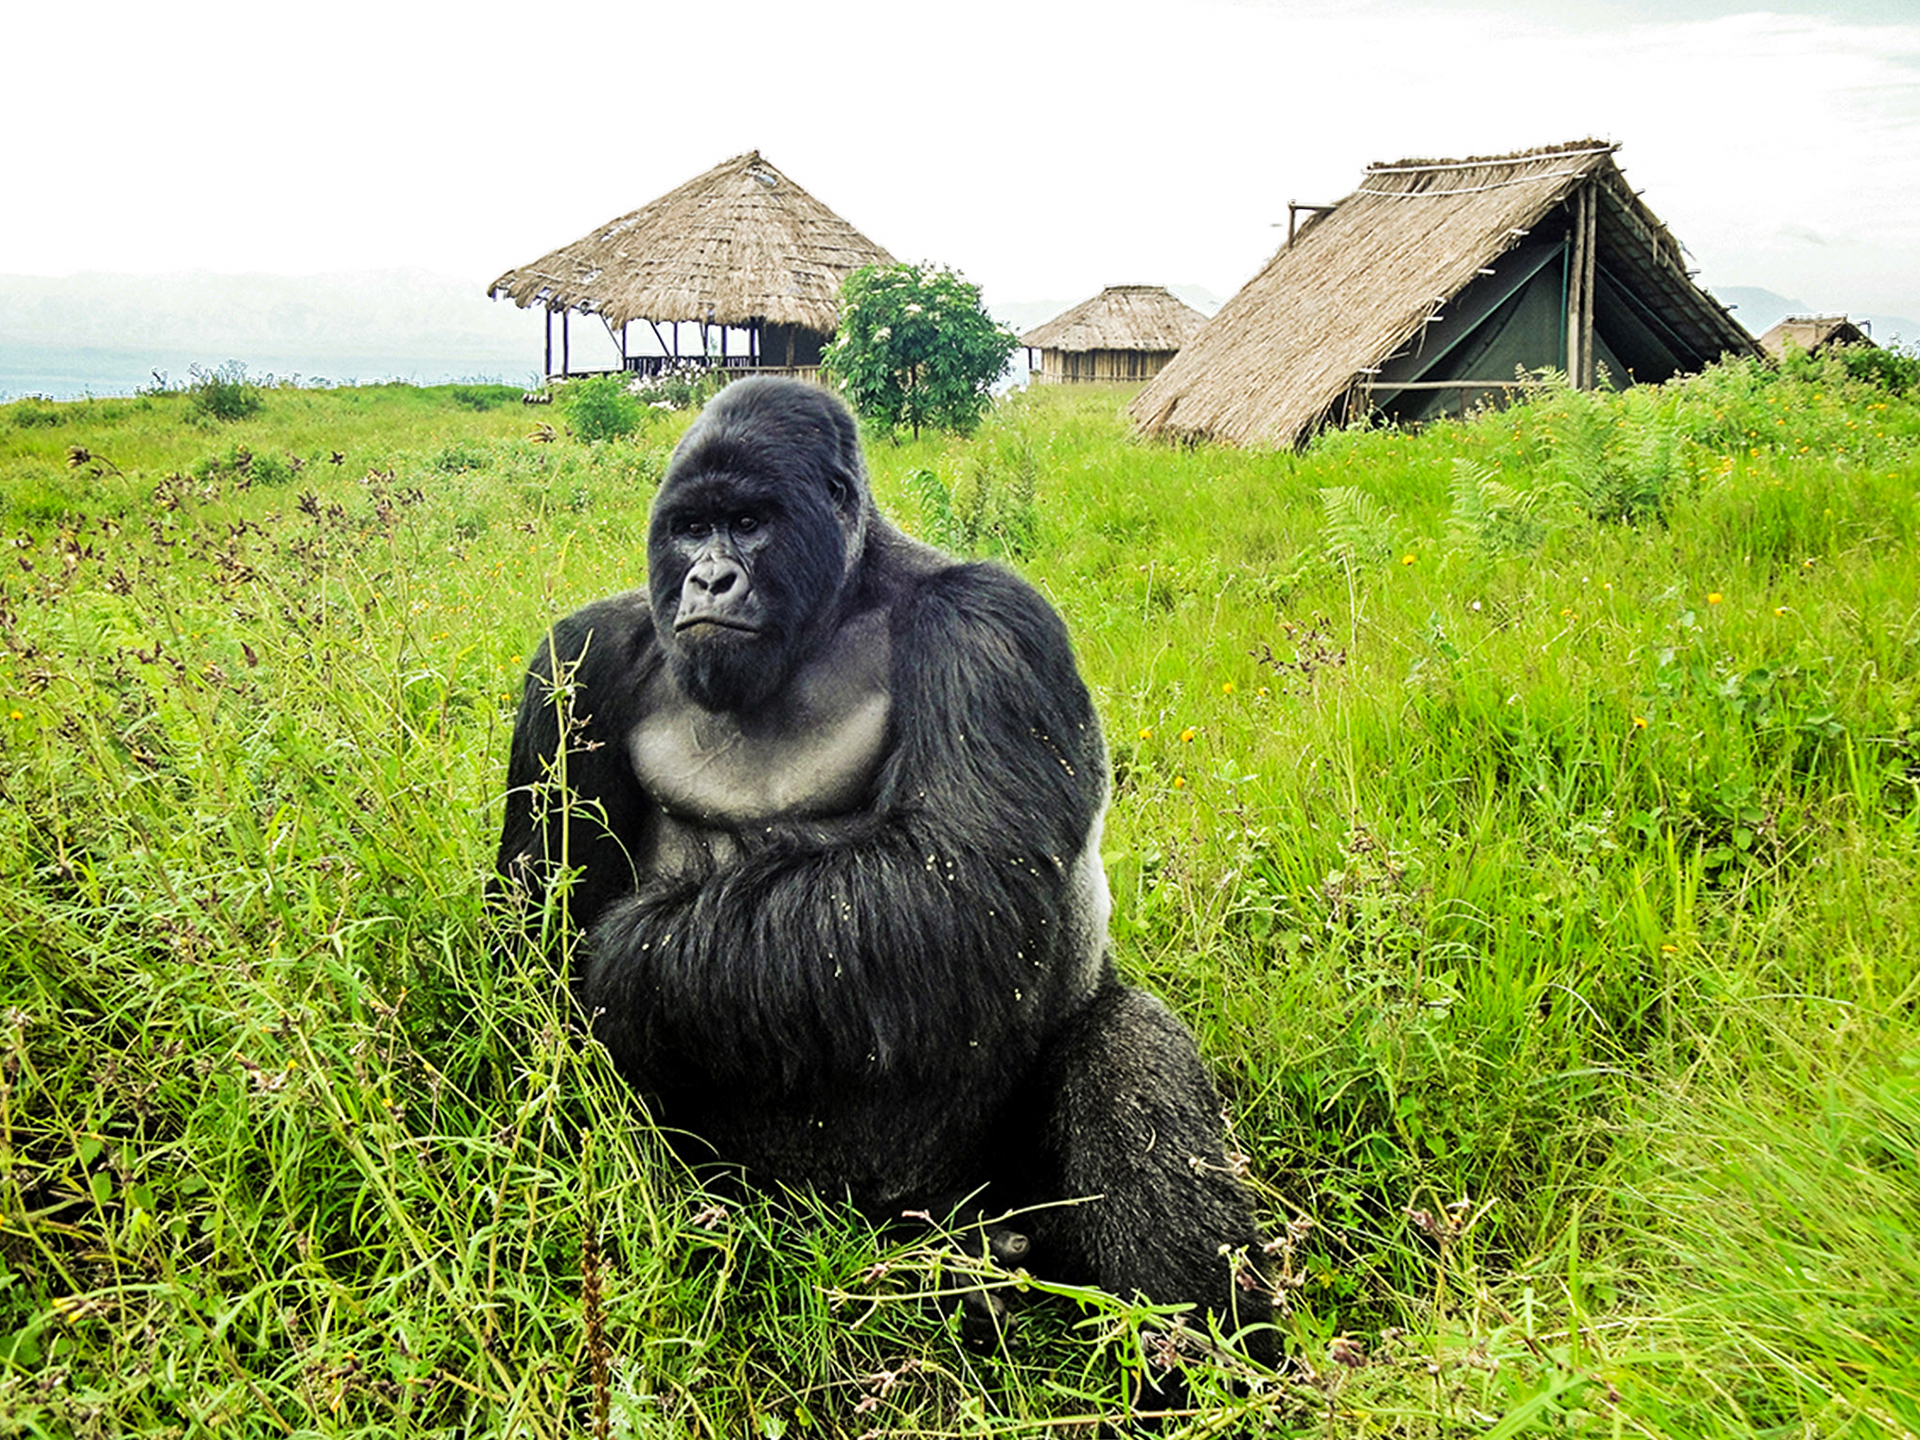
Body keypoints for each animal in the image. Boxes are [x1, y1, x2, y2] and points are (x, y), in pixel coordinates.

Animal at [495, 378, 1274, 1367]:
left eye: (747, 524)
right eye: (690, 528)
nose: (709, 579)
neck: (837, 599)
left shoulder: (991, 618)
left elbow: (959, 878)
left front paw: (626, 960)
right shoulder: (577, 656)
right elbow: (530, 933)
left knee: (1125, 1049)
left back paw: (1198, 1356)